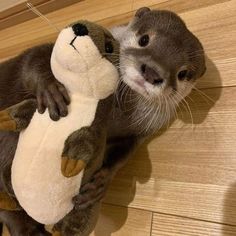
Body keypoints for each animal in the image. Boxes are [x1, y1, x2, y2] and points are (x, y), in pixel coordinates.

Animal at [0, 6, 205, 234]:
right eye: (144, 39)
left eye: (183, 73)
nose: (152, 72)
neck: (118, 113)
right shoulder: (41, 53)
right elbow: (33, 58)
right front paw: (50, 88)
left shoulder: (139, 132)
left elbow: (123, 153)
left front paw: (101, 182)